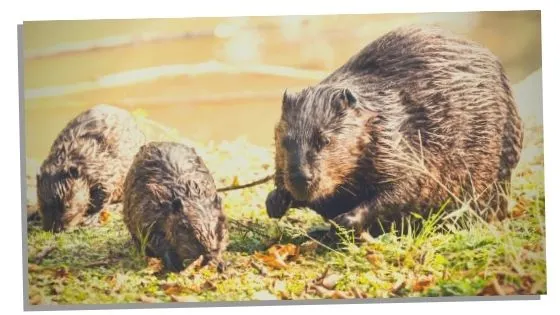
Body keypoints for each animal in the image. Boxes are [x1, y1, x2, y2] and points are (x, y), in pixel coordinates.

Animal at [36, 105, 145, 233]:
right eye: (42, 205)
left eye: (67, 205)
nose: (55, 229)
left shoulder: (105, 169)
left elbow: (104, 193)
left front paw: (90, 219)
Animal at [122, 142, 228, 272]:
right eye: (186, 227)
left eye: (219, 224)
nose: (209, 254)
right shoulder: (149, 208)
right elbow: (155, 237)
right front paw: (175, 264)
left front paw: (221, 263)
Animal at [264, 25, 524, 241]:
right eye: (285, 141)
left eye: (325, 140)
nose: (301, 178)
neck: (377, 113)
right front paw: (275, 201)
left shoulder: (398, 144)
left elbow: (405, 186)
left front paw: (346, 220)